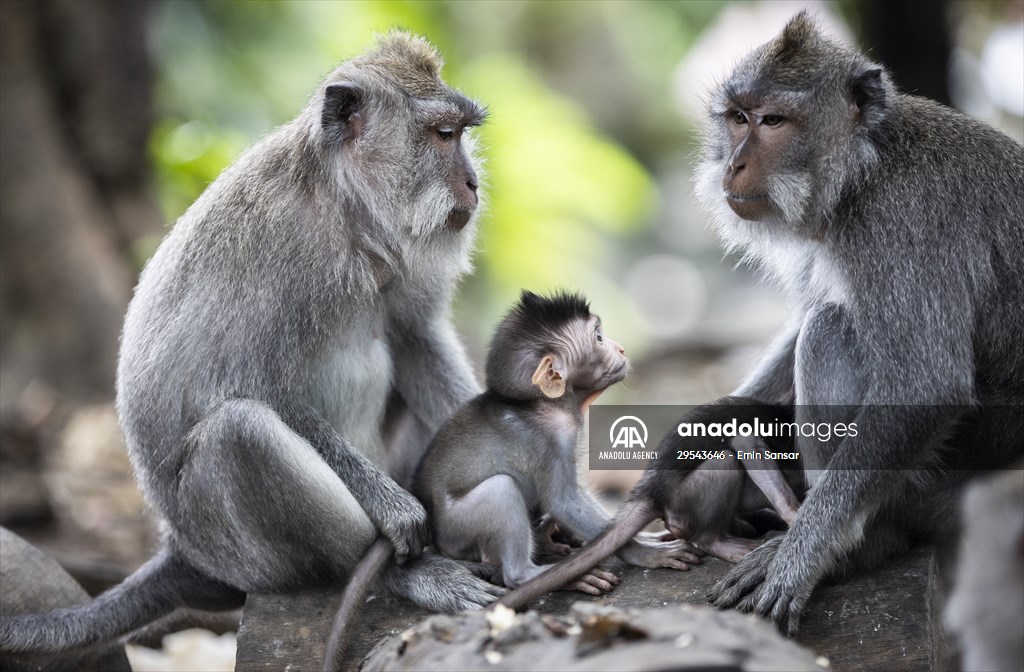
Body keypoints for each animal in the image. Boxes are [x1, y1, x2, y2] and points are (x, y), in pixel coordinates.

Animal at [0, 33, 508, 657]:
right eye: (442, 135)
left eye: (459, 133)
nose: (473, 183)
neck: (346, 209)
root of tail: (183, 552)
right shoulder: (282, 250)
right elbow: (252, 386)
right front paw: (394, 508)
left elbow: (415, 341)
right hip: (240, 552)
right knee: (240, 433)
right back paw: (398, 573)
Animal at [320, 290, 700, 670]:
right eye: (598, 338)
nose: (620, 349)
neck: (543, 405)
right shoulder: (550, 438)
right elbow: (565, 502)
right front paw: (646, 552)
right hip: (460, 527)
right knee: (502, 491)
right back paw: (535, 574)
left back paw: (547, 541)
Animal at [495, 397, 805, 611]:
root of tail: (652, 489)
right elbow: (745, 441)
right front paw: (794, 515)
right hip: (685, 497)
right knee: (725, 461)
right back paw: (720, 542)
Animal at [690, 11, 1024, 634]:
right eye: (739, 117)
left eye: (774, 121)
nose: (733, 163)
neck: (865, 169)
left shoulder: (905, 222)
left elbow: (924, 385)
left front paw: (799, 558)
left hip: (958, 468)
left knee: (830, 332)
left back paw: (857, 548)